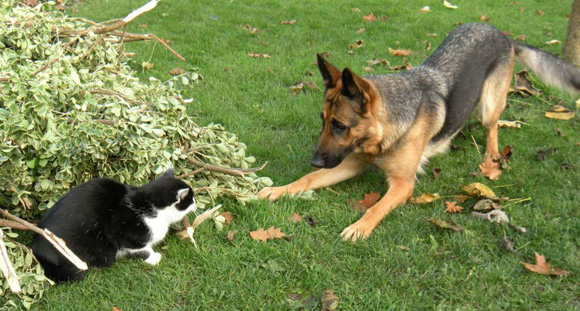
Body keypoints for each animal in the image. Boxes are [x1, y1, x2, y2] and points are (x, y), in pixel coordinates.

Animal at [32, 169, 197, 284]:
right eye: (190, 199)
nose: (196, 202)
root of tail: (37, 248)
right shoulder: (126, 233)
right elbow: (141, 248)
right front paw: (153, 258)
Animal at [258, 24, 580, 243]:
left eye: (339, 126)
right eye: (323, 121)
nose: (314, 160)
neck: (384, 132)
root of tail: (501, 33)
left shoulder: (403, 185)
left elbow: (376, 208)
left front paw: (360, 226)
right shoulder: (349, 163)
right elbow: (307, 180)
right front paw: (279, 189)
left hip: (490, 105)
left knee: (493, 127)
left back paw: (491, 155)